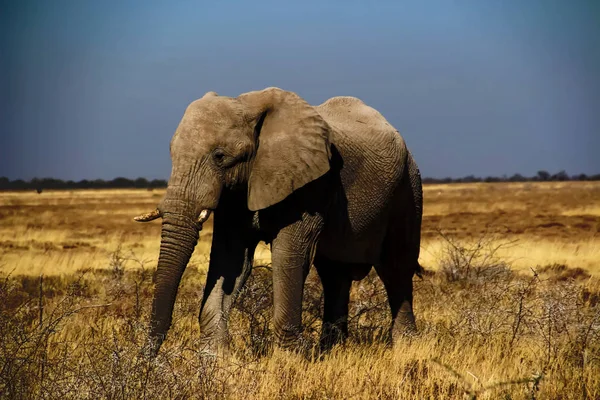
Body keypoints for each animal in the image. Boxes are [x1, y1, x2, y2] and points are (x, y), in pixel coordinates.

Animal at [135, 86, 422, 354]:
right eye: (171, 154)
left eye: (220, 156)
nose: (147, 356)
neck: (248, 106)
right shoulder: (237, 194)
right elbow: (230, 260)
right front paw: (213, 357)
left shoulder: (309, 184)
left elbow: (289, 254)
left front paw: (289, 357)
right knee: (334, 274)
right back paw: (332, 350)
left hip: (408, 187)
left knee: (395, 268)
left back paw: (406, 347)